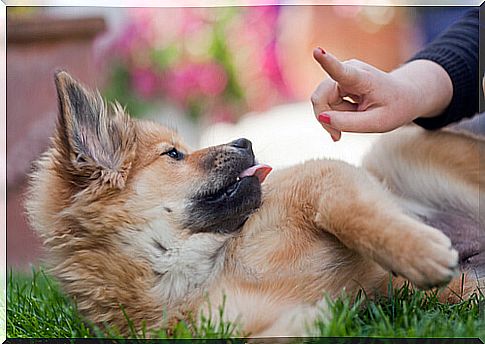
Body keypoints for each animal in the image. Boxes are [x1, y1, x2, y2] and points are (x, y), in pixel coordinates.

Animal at [26, 71, 484, 338]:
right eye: (174, 155)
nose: (245, 141)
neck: (208, 266)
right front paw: (322, 317)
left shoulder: (320, 176)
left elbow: (348, 210)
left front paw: (420, 254)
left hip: (391, 151)